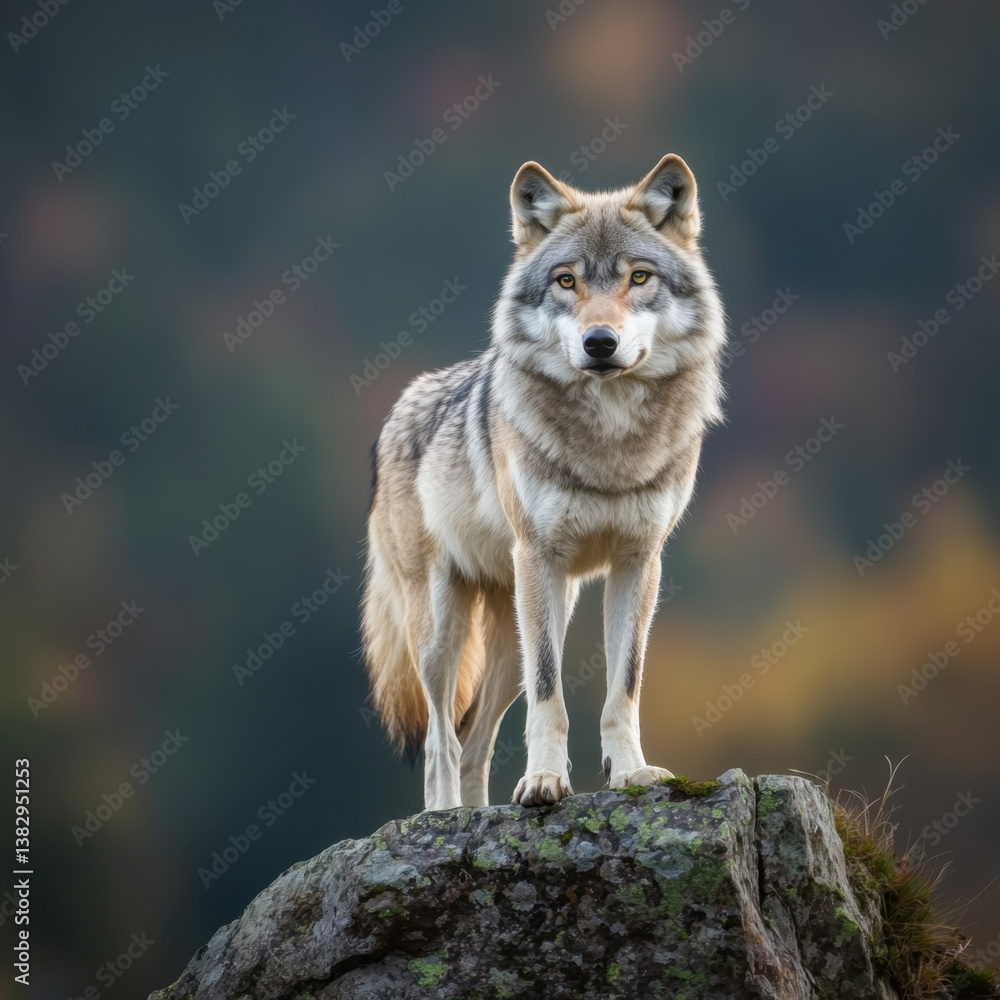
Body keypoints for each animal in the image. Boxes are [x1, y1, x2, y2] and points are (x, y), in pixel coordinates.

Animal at [363, 154, 726, 810]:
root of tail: (399, 408)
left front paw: (631, 773)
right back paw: (444, 816)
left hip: (515, 637)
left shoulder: (640, 562)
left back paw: (476, 812)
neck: (610, 443)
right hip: (445, 634)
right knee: (440, 741)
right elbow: (551, 692)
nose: (600, 342)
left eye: (638, 278)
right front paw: (544, 782)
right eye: (565, 281)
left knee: (474, 741)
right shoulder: (540, 557)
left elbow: (624, 685)